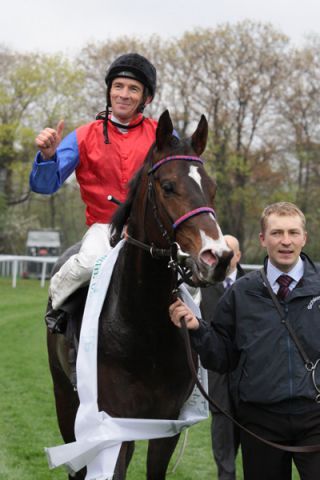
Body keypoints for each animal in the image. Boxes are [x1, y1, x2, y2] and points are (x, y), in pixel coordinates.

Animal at [45, 110, 232, 478]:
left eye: (213, 187)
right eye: (168, 186)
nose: (216, 257)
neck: (142, 327)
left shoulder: (165, 424)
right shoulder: (111, 425)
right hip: (64, 398)